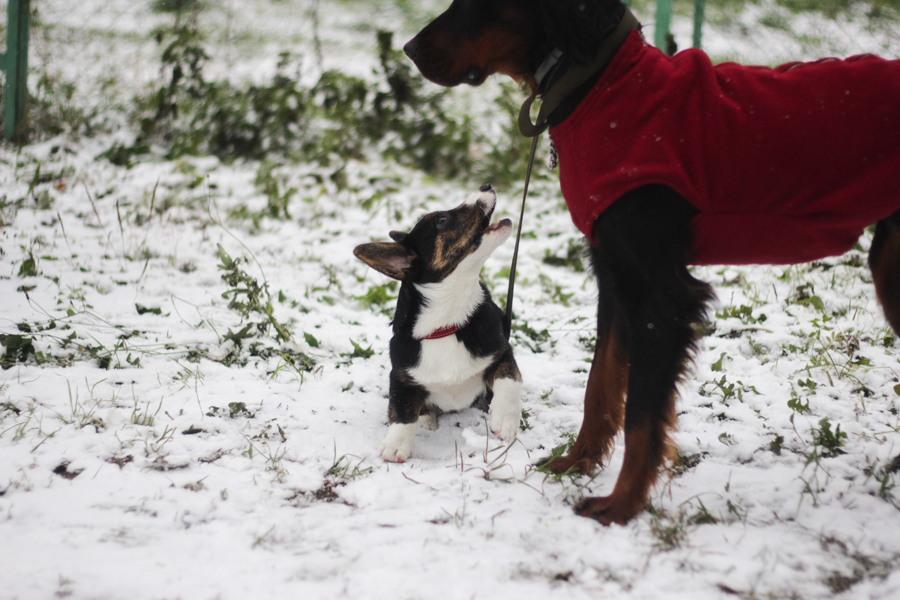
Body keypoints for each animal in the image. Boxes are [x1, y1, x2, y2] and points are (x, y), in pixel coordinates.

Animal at [352, 185, 520, 462]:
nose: (486, 186)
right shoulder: (402, 376)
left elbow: (510, 380)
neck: (446, 325)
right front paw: (395, 445)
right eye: (442, 220)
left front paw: (505, 419)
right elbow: (401, 411)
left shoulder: (501, 352)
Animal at [404, 0, 900, 524]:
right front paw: (576, 463)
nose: (410, 49)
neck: (599, 81)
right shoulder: (614, 277)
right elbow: (601, 385)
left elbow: (642, 414)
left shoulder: (662, 294)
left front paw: (620, 507)